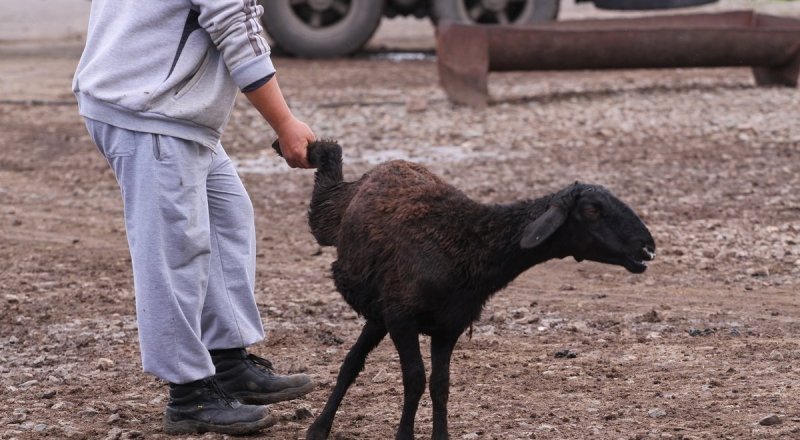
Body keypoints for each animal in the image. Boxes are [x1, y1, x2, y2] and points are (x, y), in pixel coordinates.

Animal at [282, 141, 656, 440]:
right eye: (592, 210)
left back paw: (319, 427)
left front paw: (441, 436)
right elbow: (415, 379)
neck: (471, 244)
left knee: (352, 362)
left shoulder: (449, 326)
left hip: (379, 312)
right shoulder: (403, 320)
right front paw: (405, 436)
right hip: (359, 266)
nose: (647, 247)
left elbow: (440, 385)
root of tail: (377, 172)